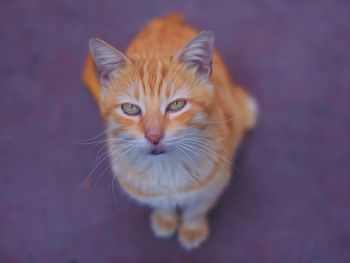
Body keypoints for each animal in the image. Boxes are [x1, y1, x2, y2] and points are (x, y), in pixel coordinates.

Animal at [82, 13, 258, 251]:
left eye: (176, 105)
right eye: (130, 108)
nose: (154, 136)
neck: (165, 170)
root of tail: (168, 19)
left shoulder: (213, 186)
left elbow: (196, 209)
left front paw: (192, 229)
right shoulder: (146, 191)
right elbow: (162, 205)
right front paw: (165, 220)